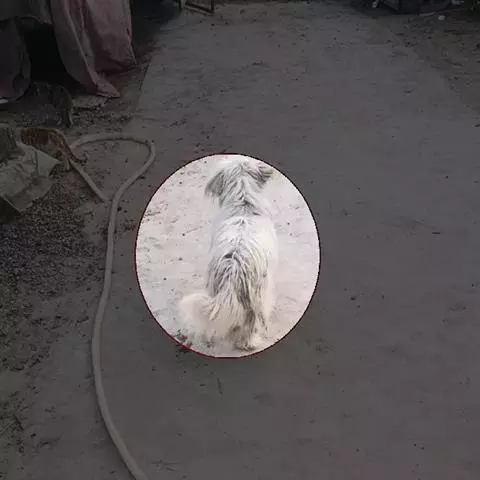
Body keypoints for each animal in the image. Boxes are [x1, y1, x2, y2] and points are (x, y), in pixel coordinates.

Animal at [178, 156, 278, 351]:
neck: (244, 202)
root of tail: (234, 269)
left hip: (215, 289)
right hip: (259, 296)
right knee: (252, 323)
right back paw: (249, 342)